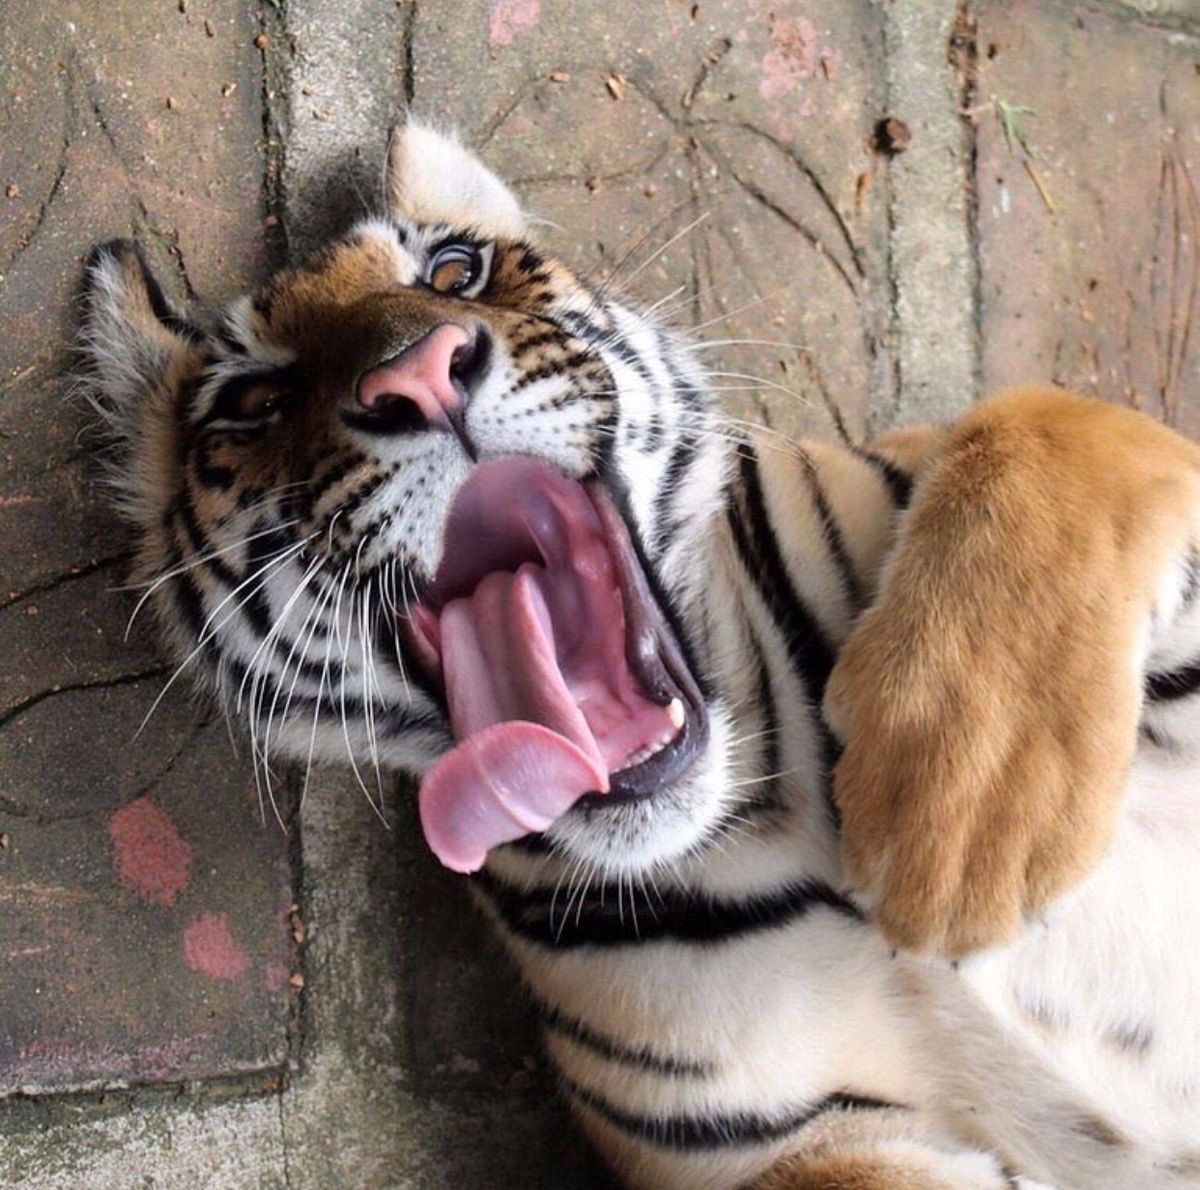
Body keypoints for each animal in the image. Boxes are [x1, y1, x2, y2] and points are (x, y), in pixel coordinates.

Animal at [78, 121, 1200, 1189]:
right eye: (253, 402)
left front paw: (964, 822)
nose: (417, 374)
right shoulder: (789, 1148)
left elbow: (1046, 428)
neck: (763, 811)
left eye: (454, 270)